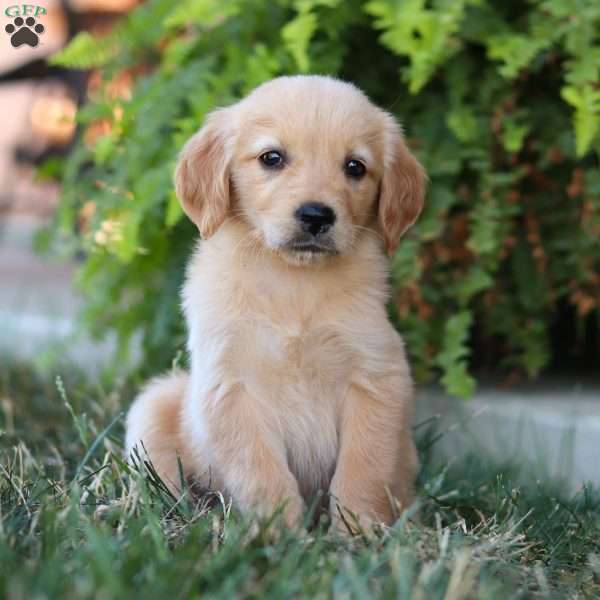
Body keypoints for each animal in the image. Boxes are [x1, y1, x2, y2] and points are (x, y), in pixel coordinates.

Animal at [125, 76, 426, 536]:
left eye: (355, 167)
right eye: (272, 158)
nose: (316, 215)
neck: (293, 284)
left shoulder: (377, 376)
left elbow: (364, 468)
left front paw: (358, 533)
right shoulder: (229, 386)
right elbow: (261, 471)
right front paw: (277, 535)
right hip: (156, 402)